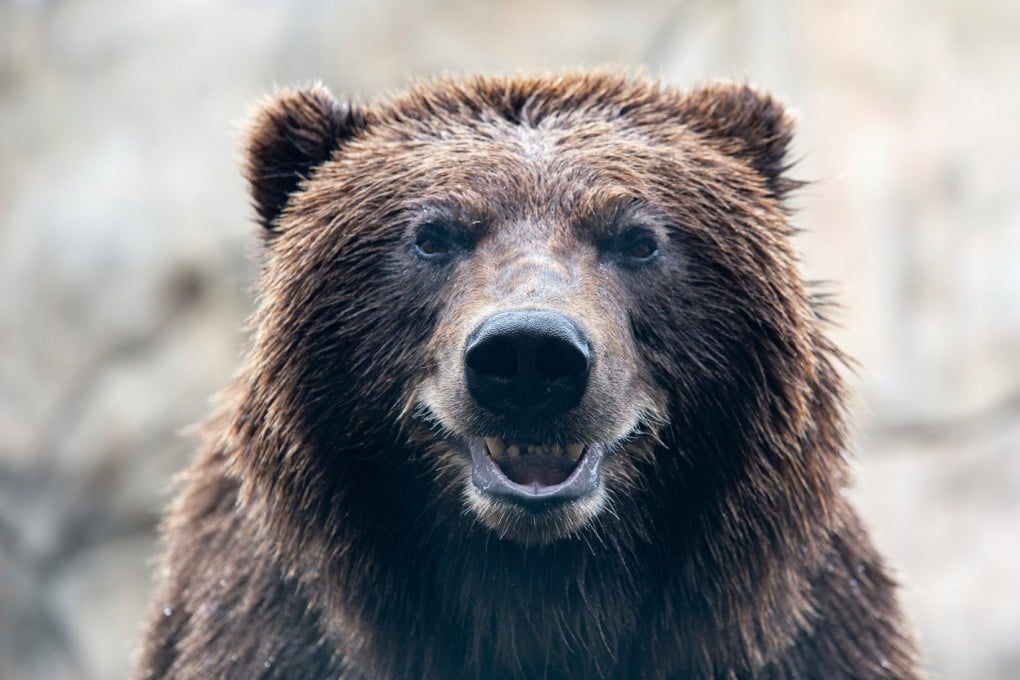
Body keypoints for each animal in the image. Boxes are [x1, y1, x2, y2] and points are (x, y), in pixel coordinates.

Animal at [136, 73, 921, 679]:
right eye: (433, 234)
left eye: (638, 238)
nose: (529, 356)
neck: (539, 595)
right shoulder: (271, 631)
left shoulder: (803, 638)